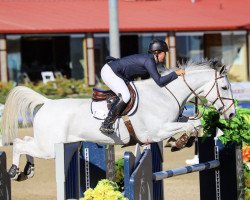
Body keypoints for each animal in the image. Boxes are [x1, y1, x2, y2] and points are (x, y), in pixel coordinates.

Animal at [0, 59, 234, 180]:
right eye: (224, 87)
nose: (231, 114)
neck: (164, 94)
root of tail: (47, 103)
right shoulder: (158, 130)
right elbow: (193, 124)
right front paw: (180, 142)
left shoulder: (166, 126)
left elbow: (193, 124)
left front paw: (181, 141)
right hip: (50, 147)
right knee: (20, 143)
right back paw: (13, 171)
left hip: (50, 143)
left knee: (27, 143)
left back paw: (28, 170)